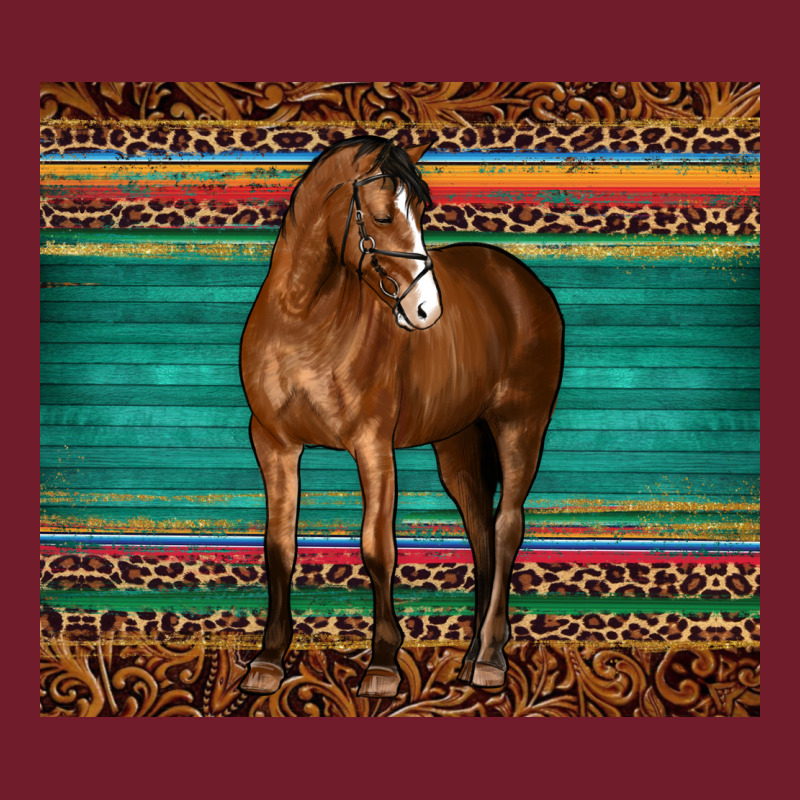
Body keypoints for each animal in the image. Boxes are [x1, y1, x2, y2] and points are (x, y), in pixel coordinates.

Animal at [239, 136, 564, 698]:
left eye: (422, 211)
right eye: (384, 215)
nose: (425, 311)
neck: (303, 320)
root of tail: (520, 281)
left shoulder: (373, 446)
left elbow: (378, 548)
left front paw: (383, 665)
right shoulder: (274, 444)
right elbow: (279, 545)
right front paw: (268, 660)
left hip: (520, 425)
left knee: (506, 526)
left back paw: (490, 659)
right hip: (458, 442)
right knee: (480, 529)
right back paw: (472, 654)